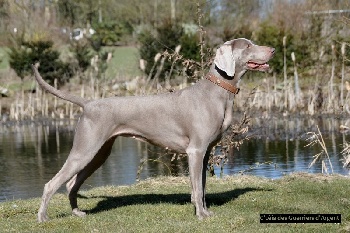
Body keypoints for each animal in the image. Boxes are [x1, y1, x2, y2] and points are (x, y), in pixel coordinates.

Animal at [31, 38, 274, 222]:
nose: (272, 49)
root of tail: (88, 103)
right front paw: (200, 215)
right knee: (51, 184)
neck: (218, 93)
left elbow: (202, 187)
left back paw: (77, 212)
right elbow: (197, 188)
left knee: (71, 182)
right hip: (85, 149)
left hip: (99, 152)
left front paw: (205, 211)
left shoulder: (205, 153)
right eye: (248, 46)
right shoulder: (195, 151)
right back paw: (42, 218)